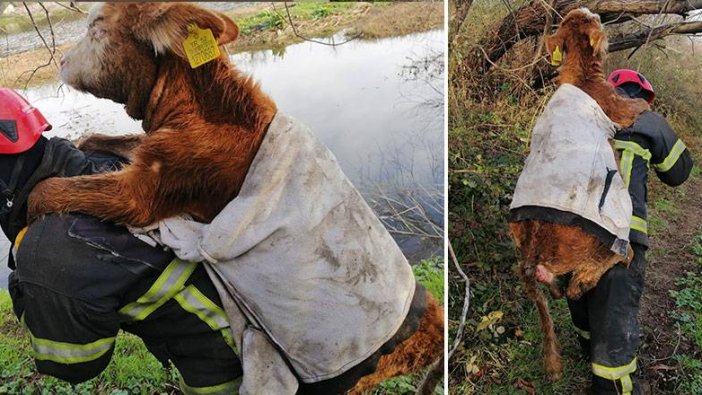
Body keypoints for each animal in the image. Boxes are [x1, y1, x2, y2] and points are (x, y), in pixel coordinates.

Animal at [28, 2, 446, 392]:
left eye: (97, 27)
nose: (61, 61)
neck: (197, 108)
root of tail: (434, 330)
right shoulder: (147, 157)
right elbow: (97, 139)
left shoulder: (141, 194)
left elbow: (46, 190)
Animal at [512, 7, 644, 382]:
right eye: (595, 21)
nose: (597, 13)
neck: (580, 73)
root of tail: (533, 256)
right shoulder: (618, 107)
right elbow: (638, 108)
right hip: (611, 225)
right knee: (616, 258)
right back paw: (587, 279)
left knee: (559, 289)